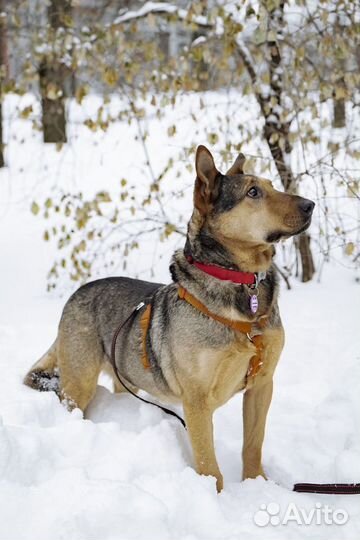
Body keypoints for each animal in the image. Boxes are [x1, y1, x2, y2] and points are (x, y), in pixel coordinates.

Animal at [23, 146, 314, 492]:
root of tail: (77, 292)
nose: (311, 205)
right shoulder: (197, 400)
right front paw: (213, 496)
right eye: (253, 192)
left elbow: (253, 445)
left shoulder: (262, 385)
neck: (241, 285)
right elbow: (208, 463)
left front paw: (257, 484)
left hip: (125, 377)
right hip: (79, 383)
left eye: (271, 184)